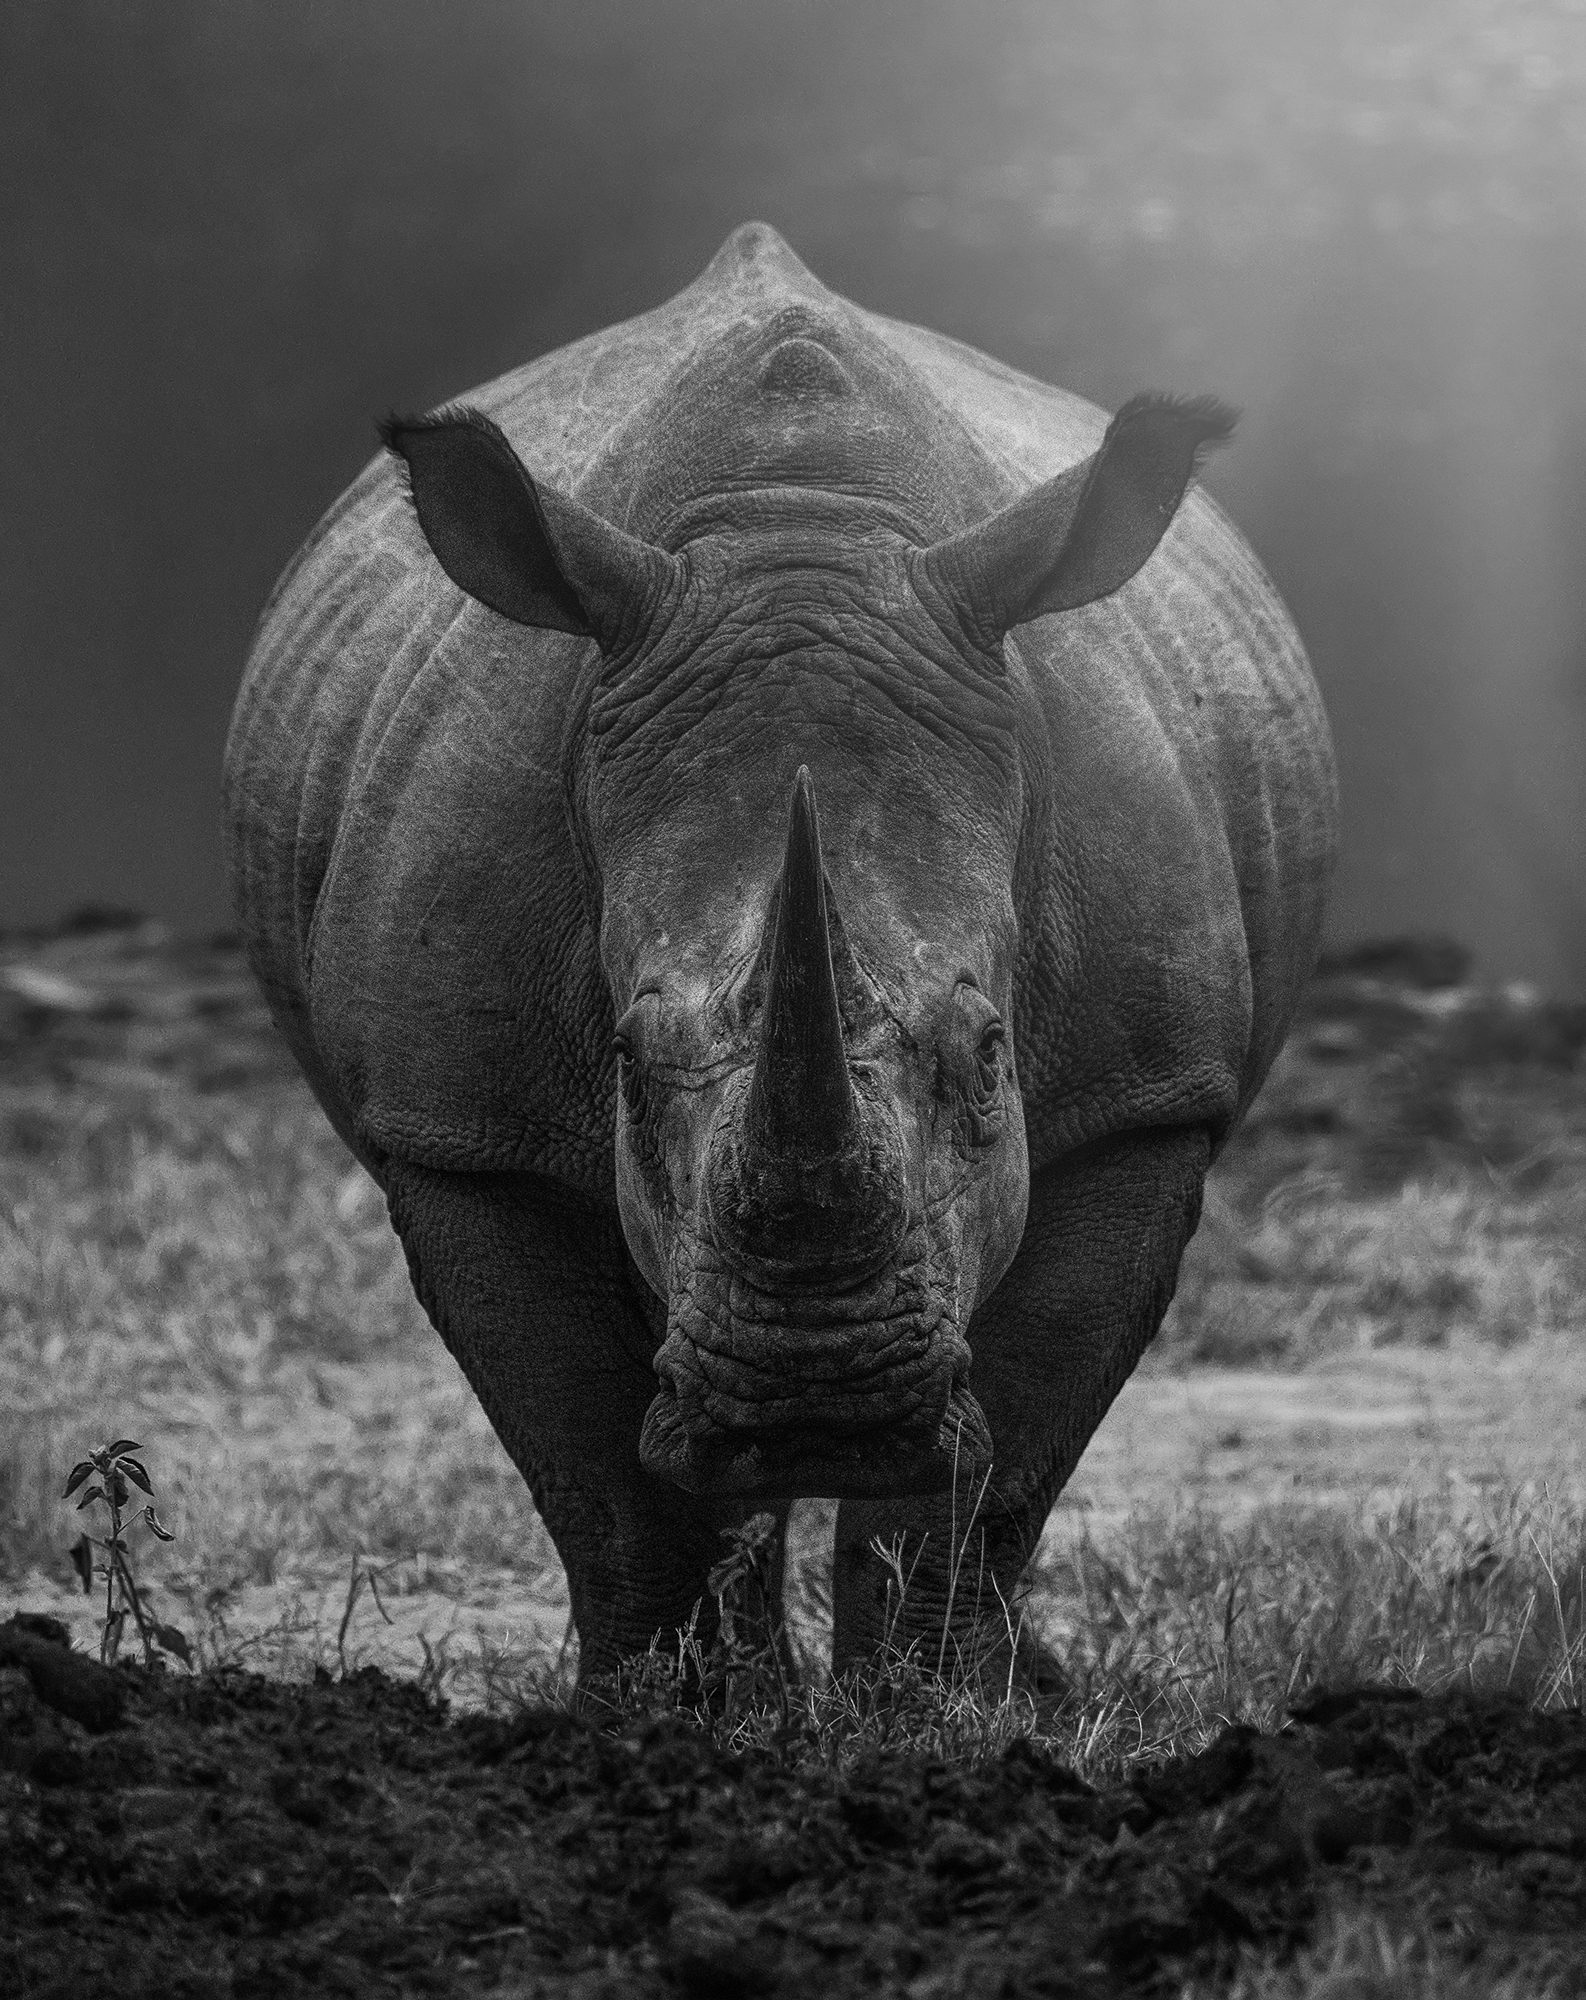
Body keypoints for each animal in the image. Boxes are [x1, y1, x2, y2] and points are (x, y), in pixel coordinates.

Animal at [225, 223, 1336, 1687]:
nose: (818, 1412)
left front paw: (932, 1706)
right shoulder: (462, 1130)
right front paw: (680, 1714)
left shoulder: (1140, 1102)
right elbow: (603, 1482)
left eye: (992, 1053)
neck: (797, 538)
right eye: (625, 1065)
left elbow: (989, 1483)